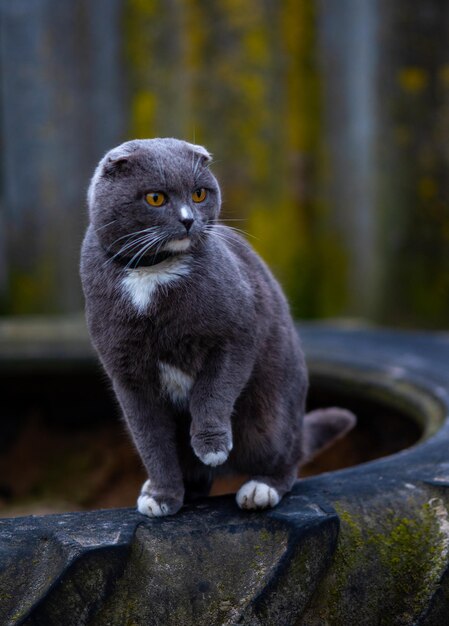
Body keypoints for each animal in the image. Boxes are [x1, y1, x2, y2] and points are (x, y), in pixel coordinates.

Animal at [79, 139, 354, 516]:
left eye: (198, 194)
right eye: (155, 198)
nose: (188, 220)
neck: (151, 272)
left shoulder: (237, 331)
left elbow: (213, 389)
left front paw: (212, 446)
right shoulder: (127, 373)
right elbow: (151, 439)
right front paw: (162, 495)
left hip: (271, 419)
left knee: (288, 456)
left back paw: (260, 488)